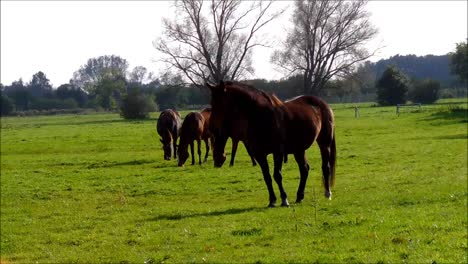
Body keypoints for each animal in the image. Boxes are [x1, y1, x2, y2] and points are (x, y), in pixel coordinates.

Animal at [208, 81, 336, 207]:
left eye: (220, 103)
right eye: (212, 102)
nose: (211, 125)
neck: (262, 117)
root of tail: (323, 104)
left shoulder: (277, 152)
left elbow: (277, 175)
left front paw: (284, 199)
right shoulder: (259, 154)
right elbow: (267, 177)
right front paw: (272, 200)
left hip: (324, 144)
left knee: (325, 167)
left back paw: (327, 193)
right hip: (298, 149)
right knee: (304, 169)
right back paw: (300, 196)